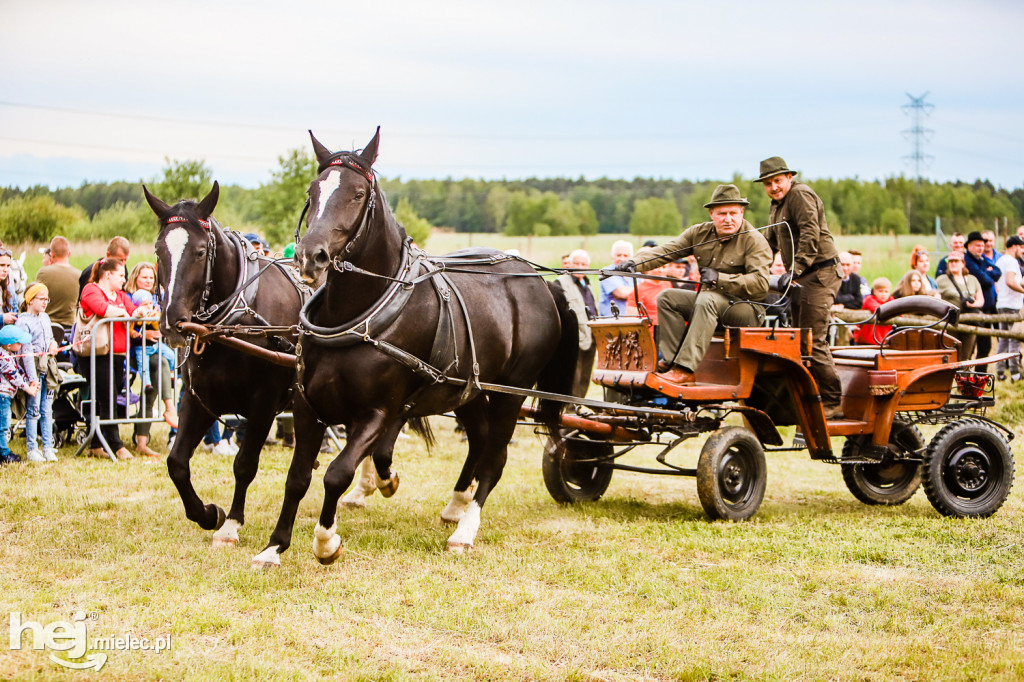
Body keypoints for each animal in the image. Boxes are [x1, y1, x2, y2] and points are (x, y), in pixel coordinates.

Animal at [249, 130, 577, 565]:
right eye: (313, 190)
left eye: (357, 194)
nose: (310, 256)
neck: (359, 316)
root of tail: (541, 283)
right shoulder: (308, 407)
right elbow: (299, 476)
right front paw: (274, 547)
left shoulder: (377, 411)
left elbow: (337, 473)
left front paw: (326, 541)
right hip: (468, 390)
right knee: (479, 438)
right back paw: (456, 504)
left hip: (511, 391)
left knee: (495, 457)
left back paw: (466, 529)